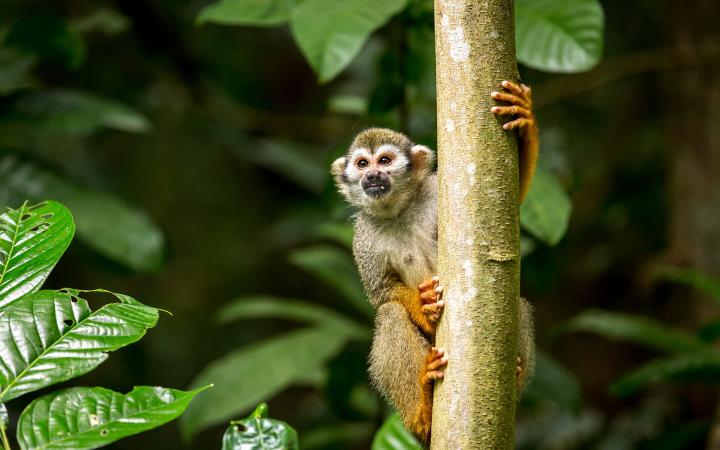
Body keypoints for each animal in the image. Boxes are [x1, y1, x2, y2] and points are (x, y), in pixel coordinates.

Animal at [330, 80, 536, 442]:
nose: (372, 176)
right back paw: (421, 408)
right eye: (362, 164)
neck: (398, 210)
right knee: (389, 314)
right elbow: (380, 294)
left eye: (384, 160)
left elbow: (514, 202)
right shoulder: (362, 236)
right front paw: (422, 305)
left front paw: (524, 118)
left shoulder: (435, 190)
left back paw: (514, 377)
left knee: (518, 302)